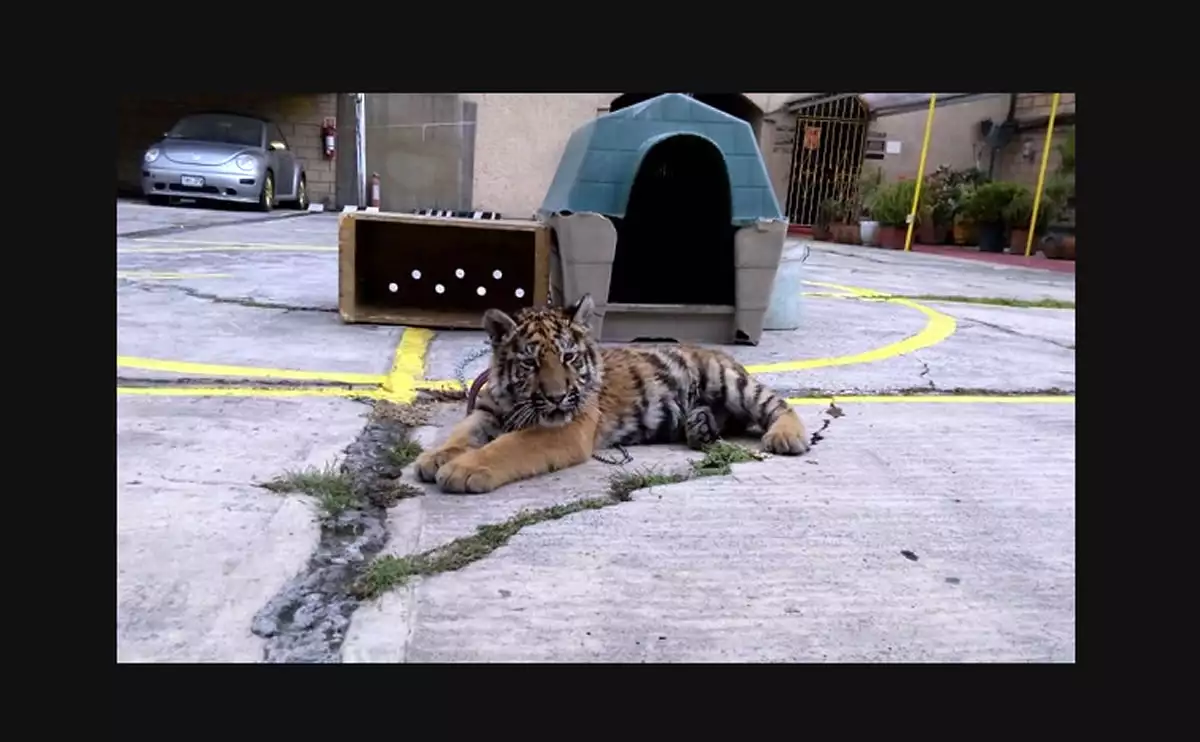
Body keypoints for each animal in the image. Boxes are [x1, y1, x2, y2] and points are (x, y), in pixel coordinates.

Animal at [414, 294, 809, 494]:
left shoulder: (565, 428)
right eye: (530, 363)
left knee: (776, 404)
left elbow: (508, 445)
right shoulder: (487, 411)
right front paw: (436, 457)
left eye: (568, 357)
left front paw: (462, 469)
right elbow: (463, 432)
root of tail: (719, 351)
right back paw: (700, 427)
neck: (518, 400)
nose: (556, 397)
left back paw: (786, 437)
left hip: (727, 381)